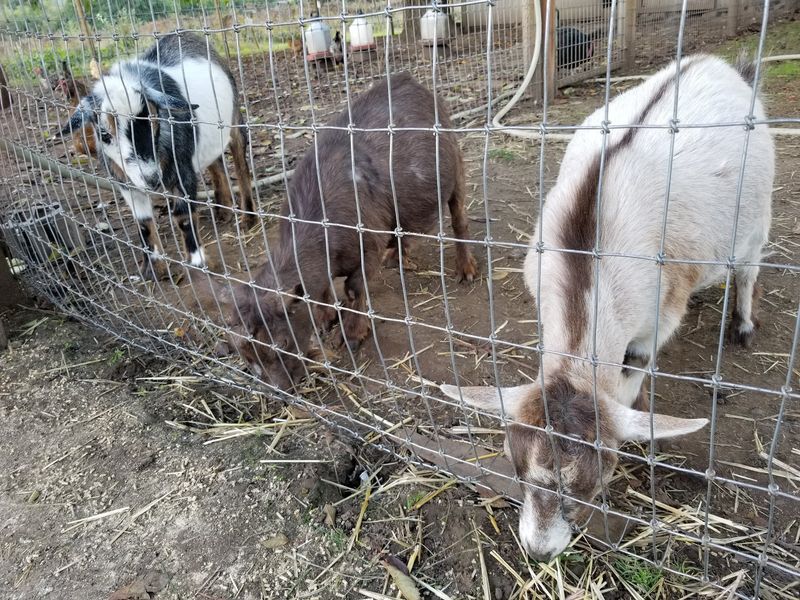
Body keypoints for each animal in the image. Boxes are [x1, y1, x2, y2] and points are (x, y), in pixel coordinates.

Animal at [60, 32, 254, 280]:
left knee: (240, 162)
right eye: (104, 134)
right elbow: (143, 223)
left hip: (234, 120)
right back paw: (223, 210)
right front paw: (153, 268)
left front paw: (199, 262)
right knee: (216, 162)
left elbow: (183, 216)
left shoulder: (182, 169)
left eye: (154, 120)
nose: (152, 178)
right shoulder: (125, 181)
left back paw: (248, 218)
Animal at [203, 72, 478, 391]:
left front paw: (351, 334)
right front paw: (325, 319)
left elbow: (353, 288)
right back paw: (397, 257)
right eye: (245, 355)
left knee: (459, 219)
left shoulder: (367, 248)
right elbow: (322, 290)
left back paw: (466, 268)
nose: (284, 389)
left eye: (282, 343)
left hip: (456, 167)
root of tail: (409, 81)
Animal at [442, 54, 773, 561]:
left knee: (749, 266)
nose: (539, 550)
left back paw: (742, 324)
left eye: (590, 485)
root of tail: (716, 65)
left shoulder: (659, 317)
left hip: (757, 215)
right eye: (518, 471)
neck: (588, 248)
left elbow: (634, 373)